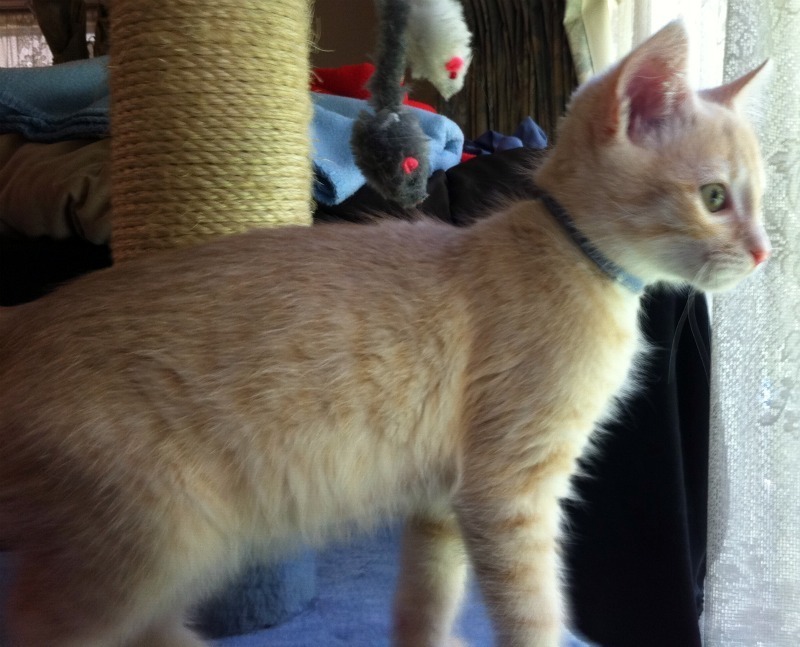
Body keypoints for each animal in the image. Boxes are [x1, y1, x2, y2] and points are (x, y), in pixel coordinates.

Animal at [0, 21, 770, 647]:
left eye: (760, 200)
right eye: (714, 198)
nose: (765, 252)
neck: (572, 256)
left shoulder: (444, 500)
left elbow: (427, 593)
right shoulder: (508, 491)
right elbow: (534, 610)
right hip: (143, 546)